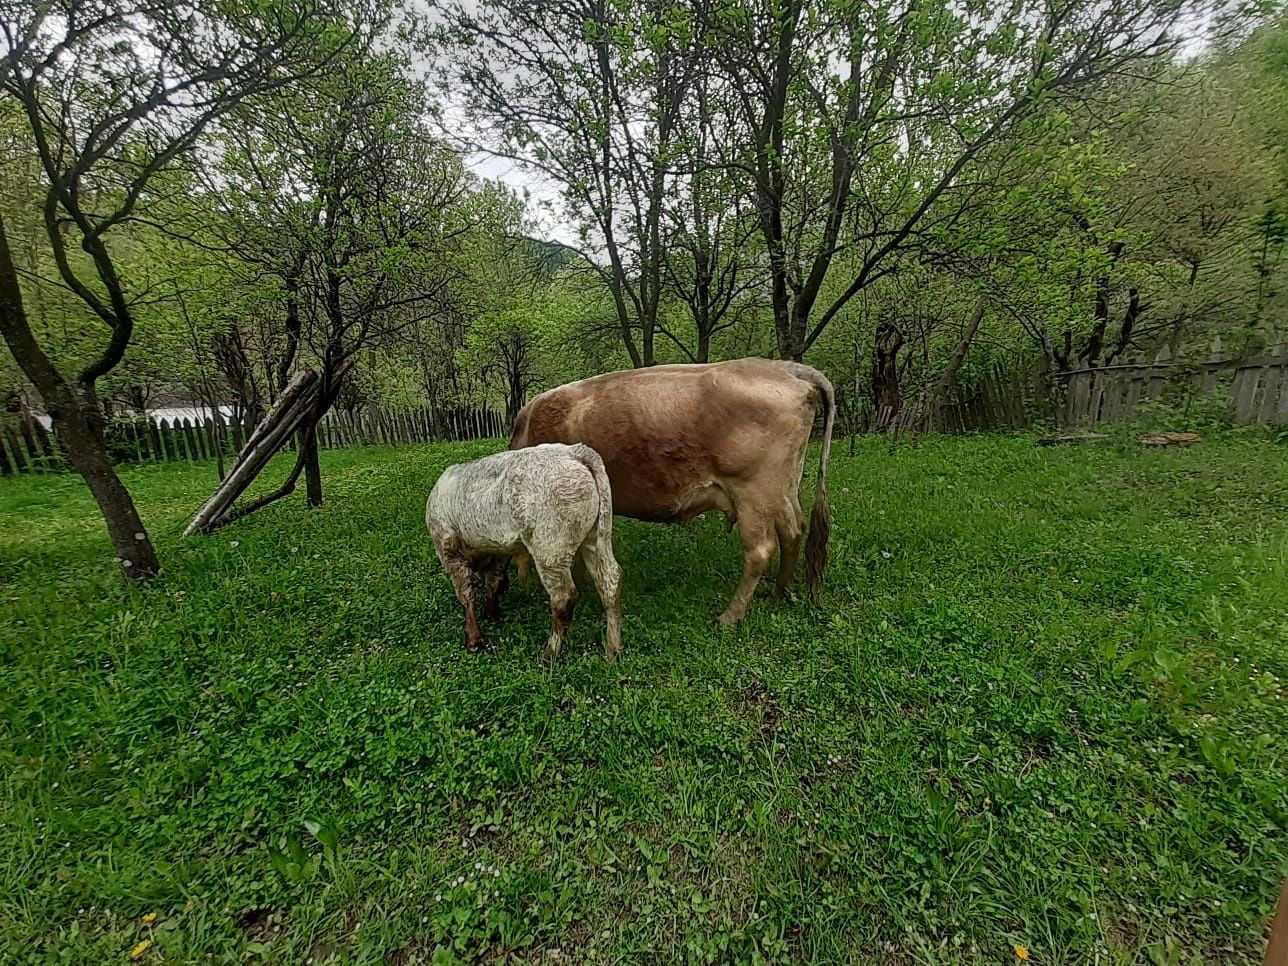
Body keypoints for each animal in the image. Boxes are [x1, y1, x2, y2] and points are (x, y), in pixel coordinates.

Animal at [427, 443, 623, 664]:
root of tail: (574, 451)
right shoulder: (500, 551)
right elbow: (493, 581)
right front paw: (491, 611)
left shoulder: (448, 550)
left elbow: (465, 594)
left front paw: (474, 639)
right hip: (596, 538)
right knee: (610, 581)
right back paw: (613, 649)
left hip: (550, 550)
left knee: (564, 598)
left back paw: (549, 654)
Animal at [507, 360, 829, 623]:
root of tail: (787, 368)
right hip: (784, 488)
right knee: (794, 531)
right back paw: (778, 592)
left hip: (754, 493)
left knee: (761, 550)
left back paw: (729, 616)